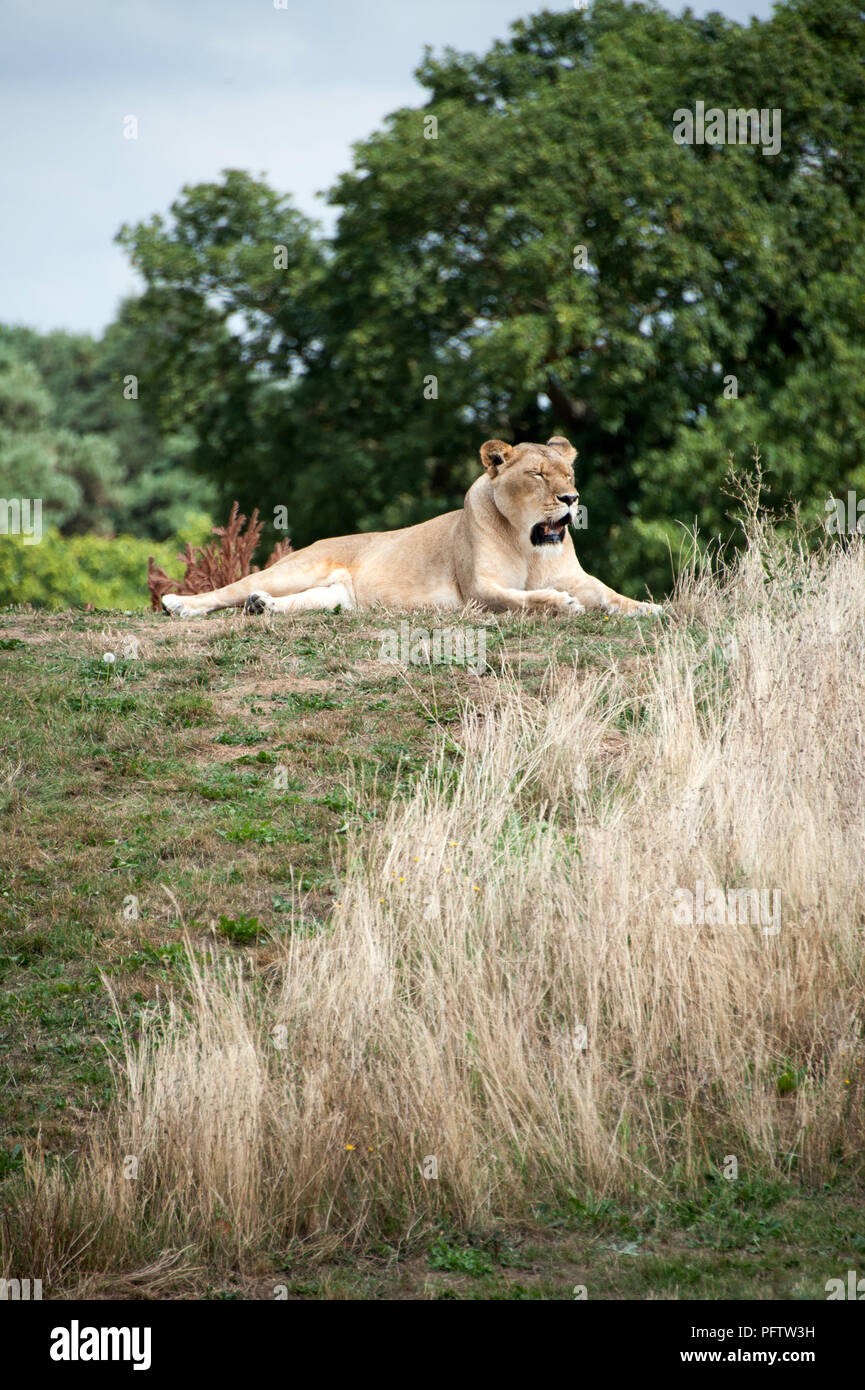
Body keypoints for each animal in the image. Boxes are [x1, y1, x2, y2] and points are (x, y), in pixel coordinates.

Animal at [161, 437, 662, 620]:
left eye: (569, 474)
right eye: (538, 475)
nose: (571, 500)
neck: (527, 544)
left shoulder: (579, 577)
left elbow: (609, 594)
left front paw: (649, 608)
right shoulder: (478, 590)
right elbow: (527, 598)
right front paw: (561, 603)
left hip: (336, 597)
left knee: (306, 601)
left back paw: (262, 606)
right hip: (293, 568)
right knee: (229, 590)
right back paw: (180, 604)